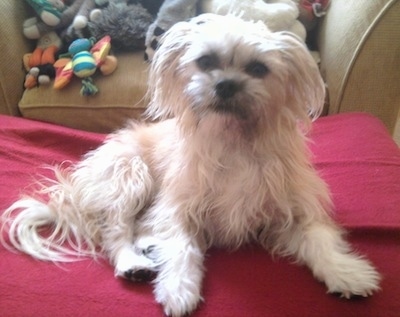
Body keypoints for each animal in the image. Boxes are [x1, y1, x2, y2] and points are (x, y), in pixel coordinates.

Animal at [0, 12, 382, 316]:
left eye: (259, 69)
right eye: (206, 61)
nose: (226, 84)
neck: (234, 140)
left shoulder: (294, 211)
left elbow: (320, 241)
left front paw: (347, 272)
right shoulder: (176, 208)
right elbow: (181, 248)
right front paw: (179, 289)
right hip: (130, 175)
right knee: (115, 230)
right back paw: (132, 261)